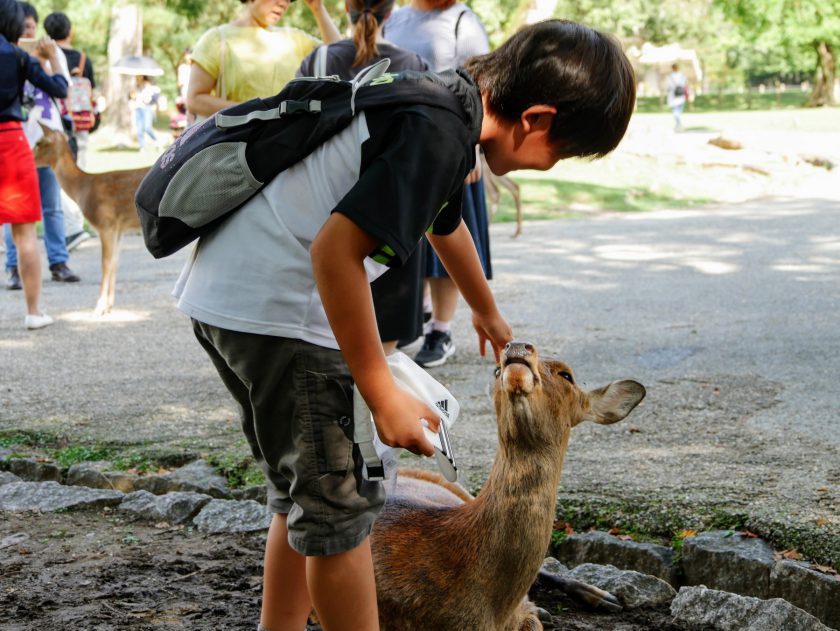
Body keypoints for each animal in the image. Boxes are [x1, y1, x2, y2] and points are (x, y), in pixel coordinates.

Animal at [33, 127, 148, 316]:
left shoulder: (106, 222)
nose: (29, 155)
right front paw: (109, 306)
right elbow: (115, 262)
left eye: (39, 143)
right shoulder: (118, 228)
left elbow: (105, 264)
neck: (83, 188)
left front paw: (99, 307)